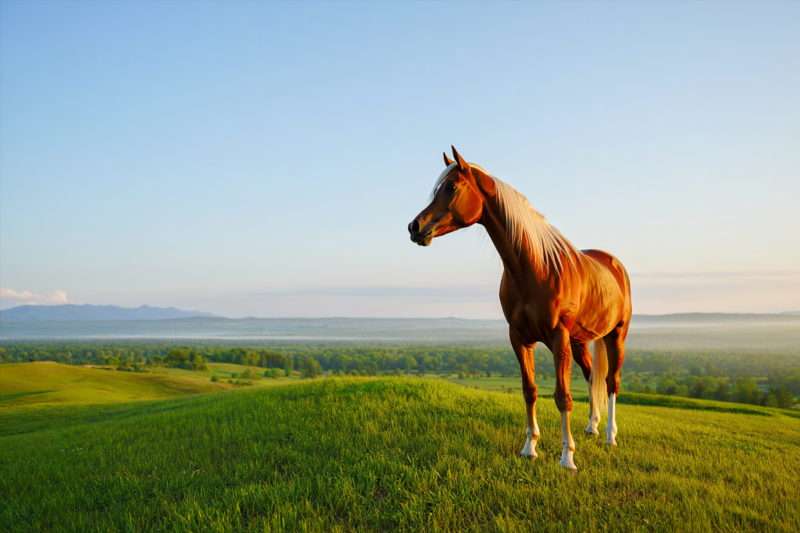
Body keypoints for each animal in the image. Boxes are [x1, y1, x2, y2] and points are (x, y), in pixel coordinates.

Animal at [408, 147, 632, 471]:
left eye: (450, 187)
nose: (414, 227)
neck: (535, 266)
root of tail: (614, 264)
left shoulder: (558, 338)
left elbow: (562, 396)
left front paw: (567, 457)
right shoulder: (519, 338)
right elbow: (530, 391)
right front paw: (530, 448)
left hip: (616, 335)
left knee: (611, 382)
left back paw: (610, 437)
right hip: (580, 342)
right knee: (592, 378)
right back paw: (592, 427)